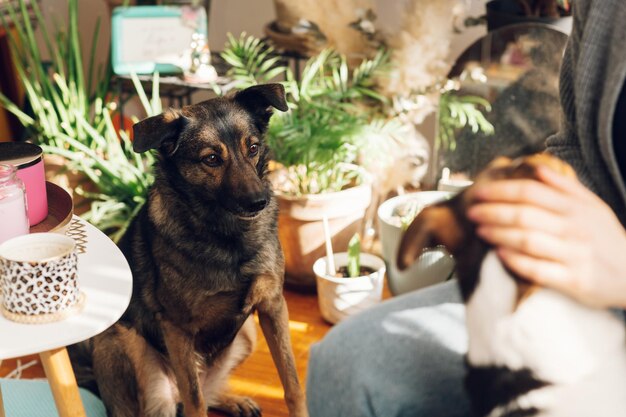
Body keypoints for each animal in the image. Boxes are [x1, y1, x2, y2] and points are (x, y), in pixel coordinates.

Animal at [70, 83, 308, 416]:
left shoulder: (272, 306)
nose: (259, 202)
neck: (229, 236)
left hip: (247, 333)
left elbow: (292, 382)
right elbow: (195, 402)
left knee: (209, 390)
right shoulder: (178, 328)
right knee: (180, 401)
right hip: (124, 344)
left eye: (252, 148)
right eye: (211, 159)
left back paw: (234, 400)